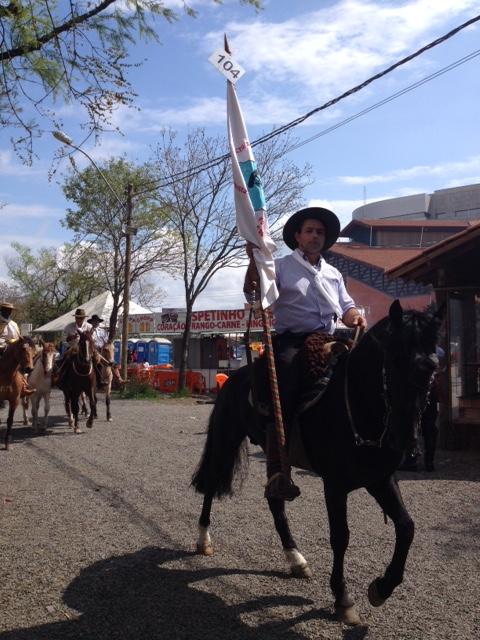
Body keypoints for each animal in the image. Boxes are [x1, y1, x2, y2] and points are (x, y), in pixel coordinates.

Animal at [191, 300, 442, 624]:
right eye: (393, 359)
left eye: (433, 367)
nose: (405, 438)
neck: (355, 405)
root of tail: (231, 378)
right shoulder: (334, 485)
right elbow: (340, 537)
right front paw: (342, 598)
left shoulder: (380, 478)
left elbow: (406, 527)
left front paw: (382, 587)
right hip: (226, 438)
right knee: (211, 483)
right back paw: (203, 540)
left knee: (275, 502)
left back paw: (296, 559)